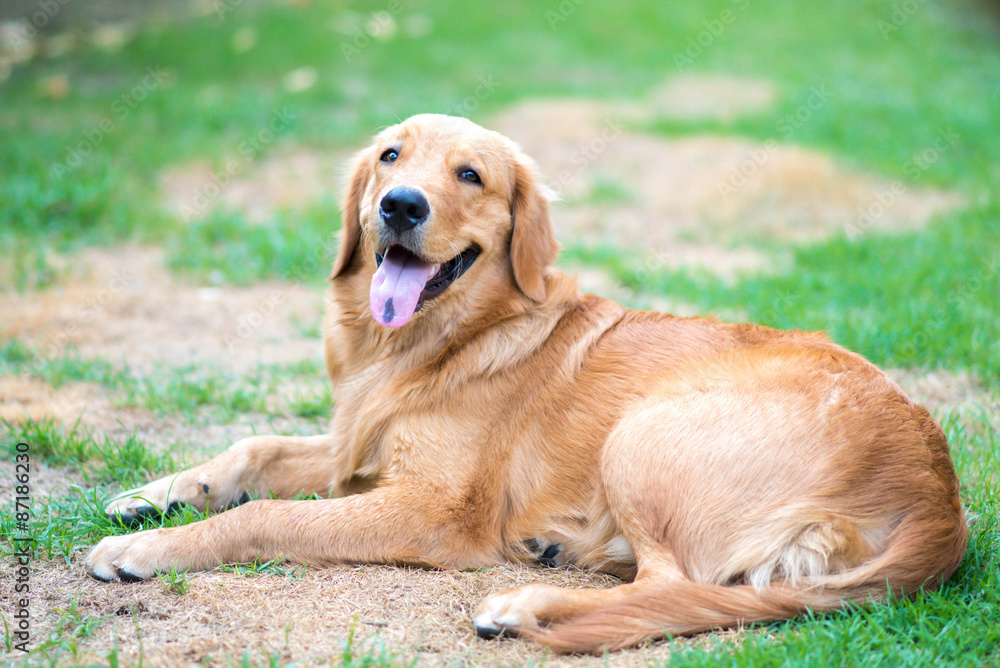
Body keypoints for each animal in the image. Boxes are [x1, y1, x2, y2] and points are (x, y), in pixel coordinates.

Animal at [88, 113, 968, 652]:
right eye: (390, 156)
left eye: (471, 175)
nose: (400, 205)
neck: (430, 343)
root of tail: (941, 498)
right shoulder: (355, 447)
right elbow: (254, 448)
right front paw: (153, 493)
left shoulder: (429, 510)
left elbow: (268, 513)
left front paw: (147, 546)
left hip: (642, 436)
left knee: (671, 587)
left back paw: (525, 605)